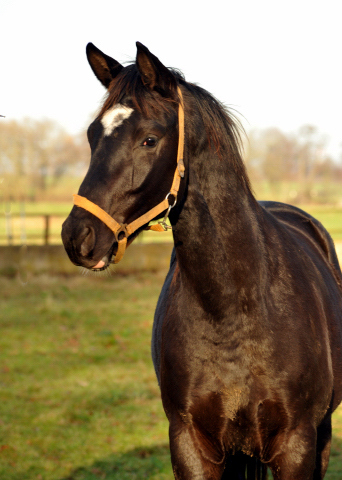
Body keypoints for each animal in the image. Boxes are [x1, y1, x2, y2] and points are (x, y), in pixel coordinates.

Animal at [61, 42, 342, 480]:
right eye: (93, 135)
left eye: (149, 140)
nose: (78, 237)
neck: (234, 306)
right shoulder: (190, 442)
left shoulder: (297, 444)